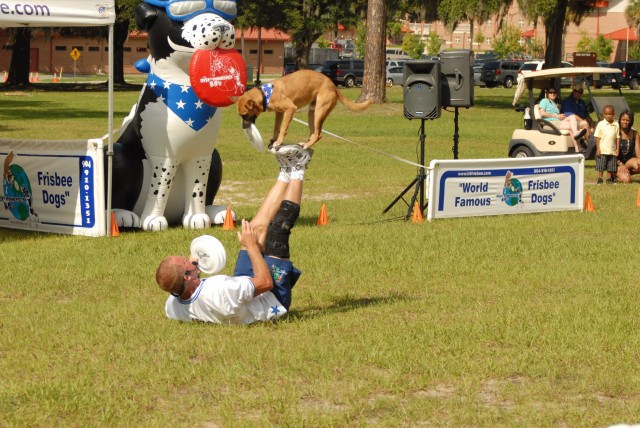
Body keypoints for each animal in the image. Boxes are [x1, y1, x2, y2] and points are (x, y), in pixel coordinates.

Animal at [238, 70, 372, 150]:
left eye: (244, 114)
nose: (243, 127)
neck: (265, 95)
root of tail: (333, 86)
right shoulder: (279, 112)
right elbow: (276, 127)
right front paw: (274, 139)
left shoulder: (290, 109)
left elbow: (283, 128)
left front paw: (278, 141)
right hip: (312, 113)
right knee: (313, 133)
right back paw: (305, 143)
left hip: (319, 112)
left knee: (318, 134)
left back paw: (307, 145)